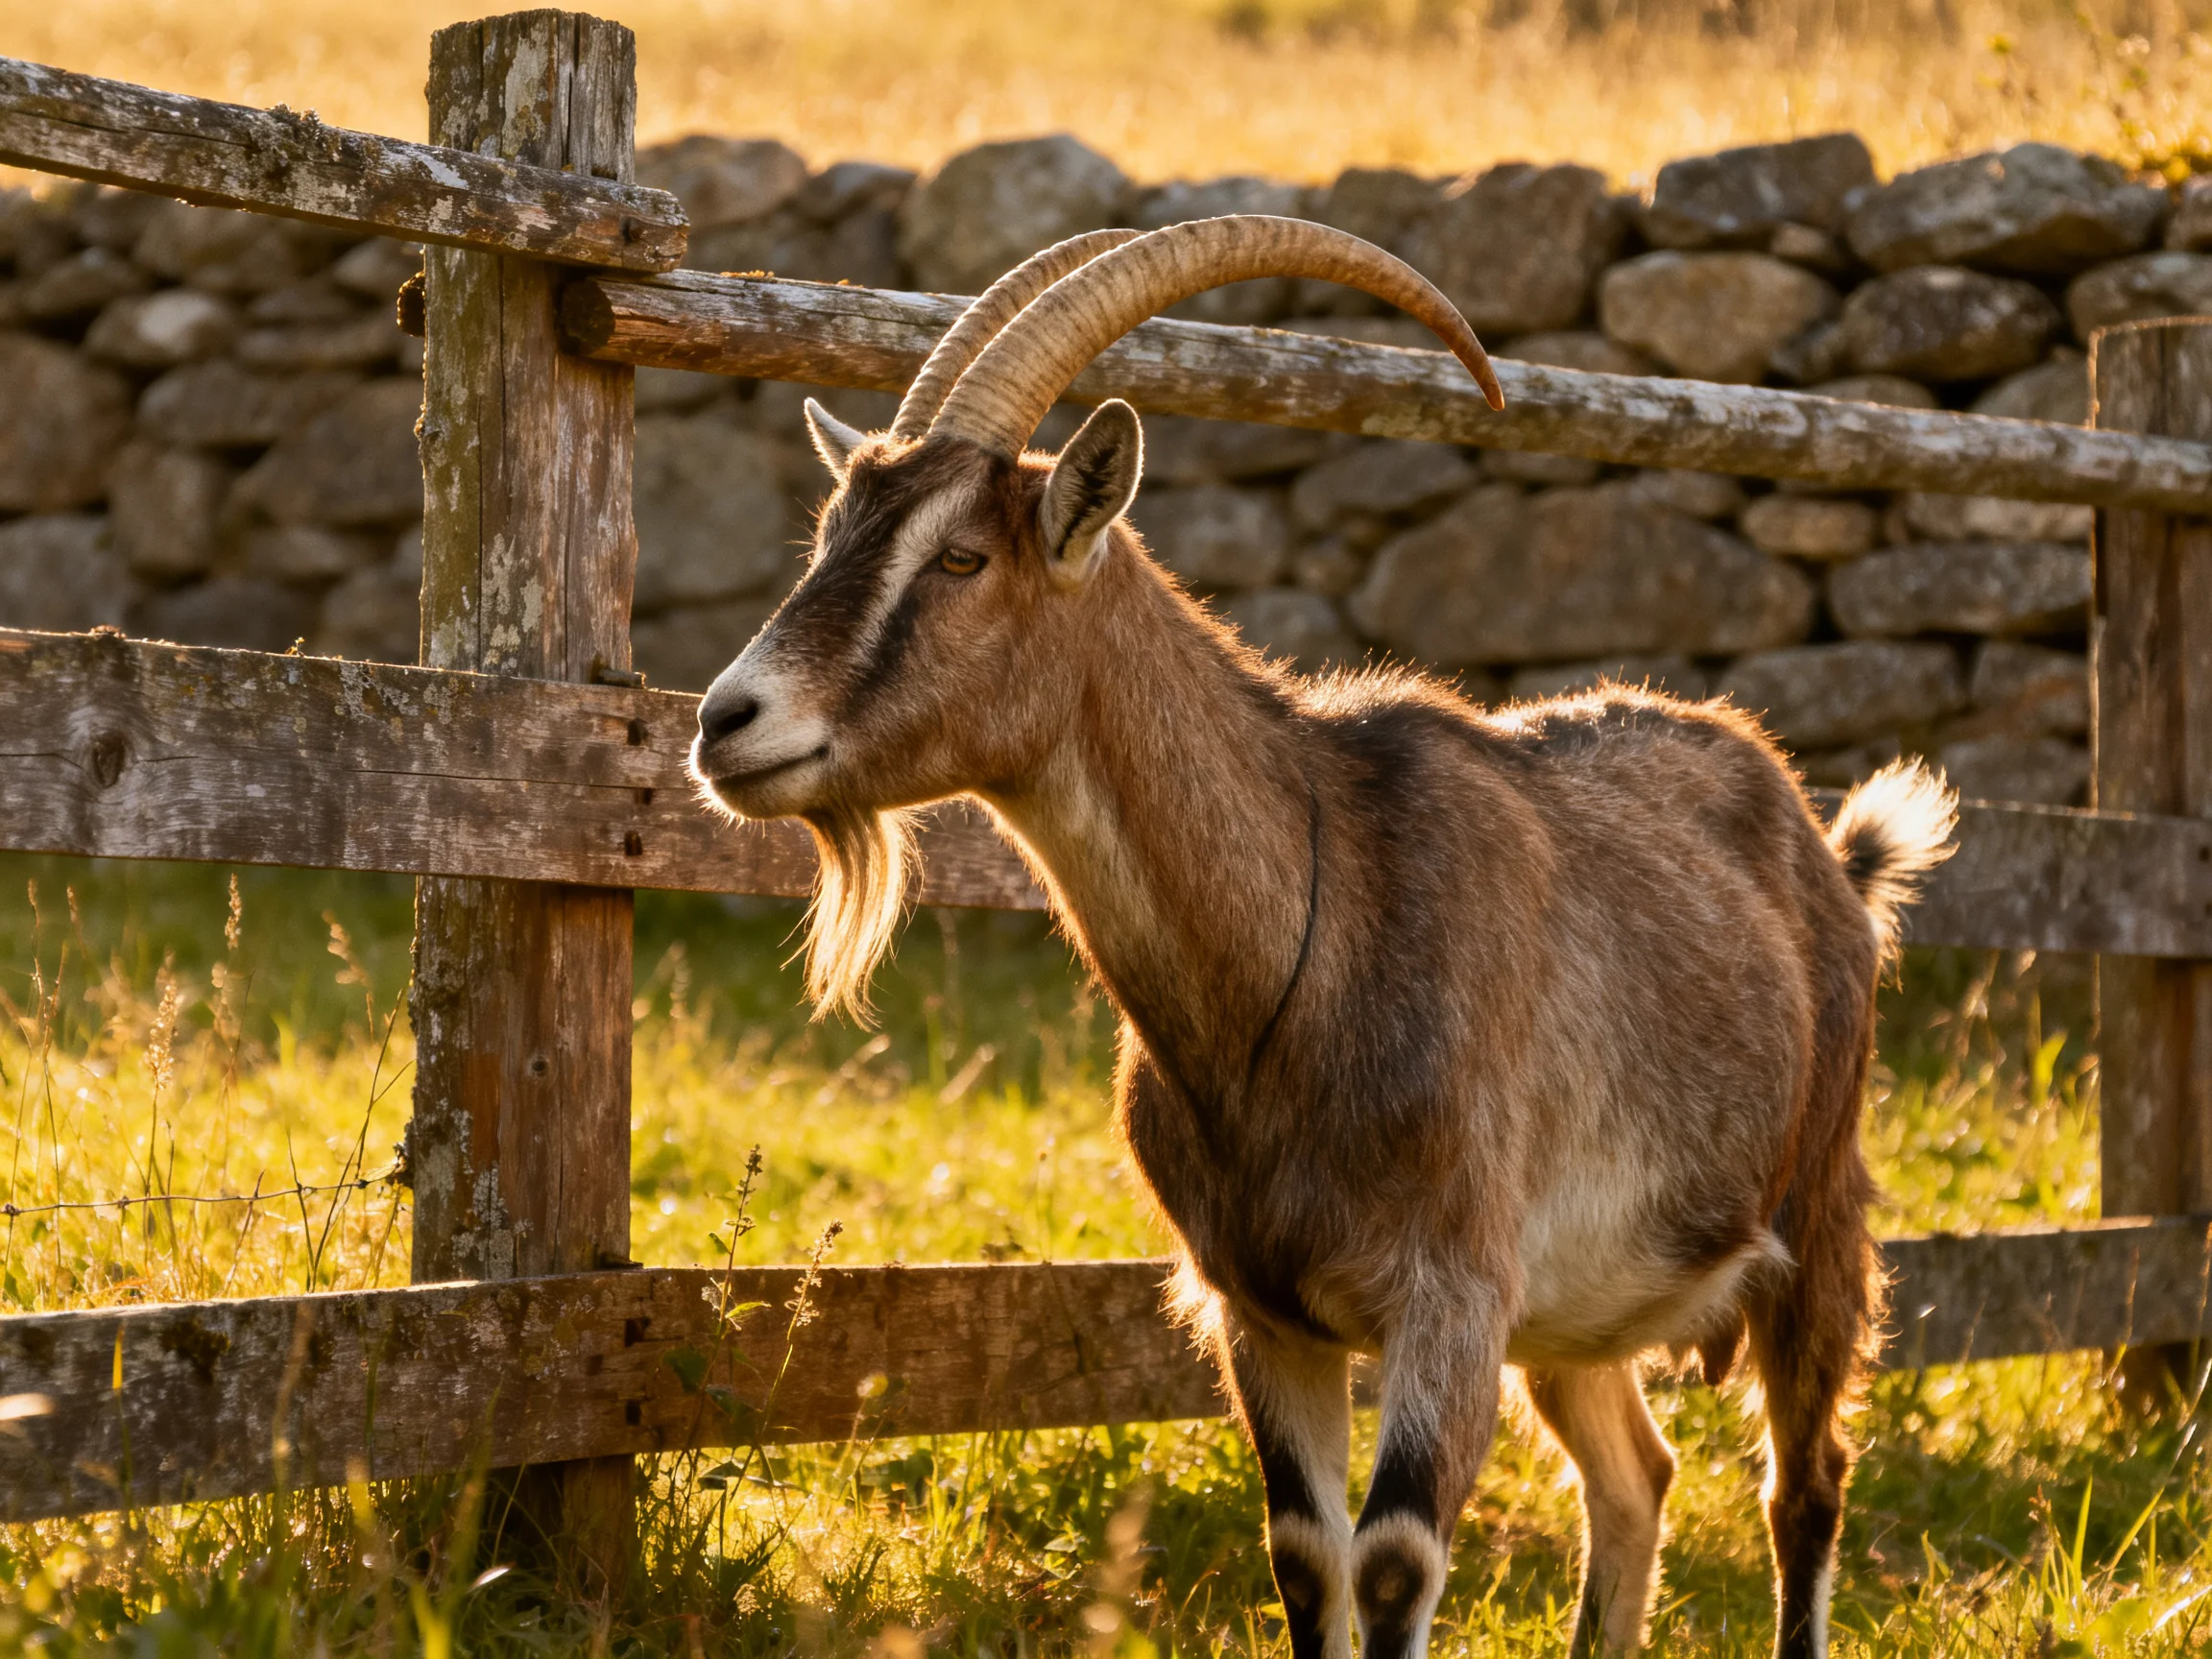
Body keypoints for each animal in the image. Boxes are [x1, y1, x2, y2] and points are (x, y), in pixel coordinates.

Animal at [687, 216, 1957, 1659]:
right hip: (1578, 1313)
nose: (726, 723)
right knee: (1636, 1475)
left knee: (1806, 1487)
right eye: (832, 531)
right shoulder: (1264, 1311)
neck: (1312, 938)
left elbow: (1394, 1560)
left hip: (1819, 1218)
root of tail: (1829, 858)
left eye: (963, 558)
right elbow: (1305, 1553)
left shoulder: (1448, 1297)